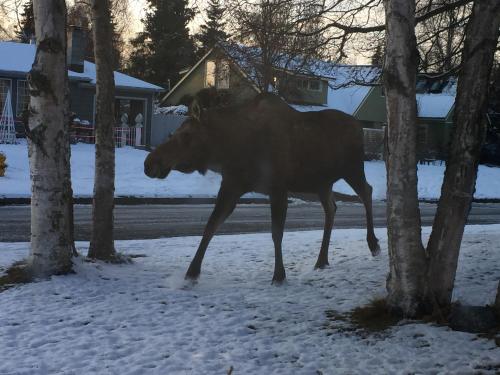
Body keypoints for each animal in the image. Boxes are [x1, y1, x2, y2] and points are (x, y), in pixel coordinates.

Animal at [145, 93, 378, 282]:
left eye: (186, 135)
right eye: (174, 132)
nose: (150, 163)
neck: (229, 150)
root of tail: (359, 126)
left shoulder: (278, 188)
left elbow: (276, 233)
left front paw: (279, 275)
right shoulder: (232, 186)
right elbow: (211, 225)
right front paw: (192, 272)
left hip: (353, 168)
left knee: (367, 191)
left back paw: (373, 244)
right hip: (322, 182)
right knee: (331, 208)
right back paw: (321, 260)